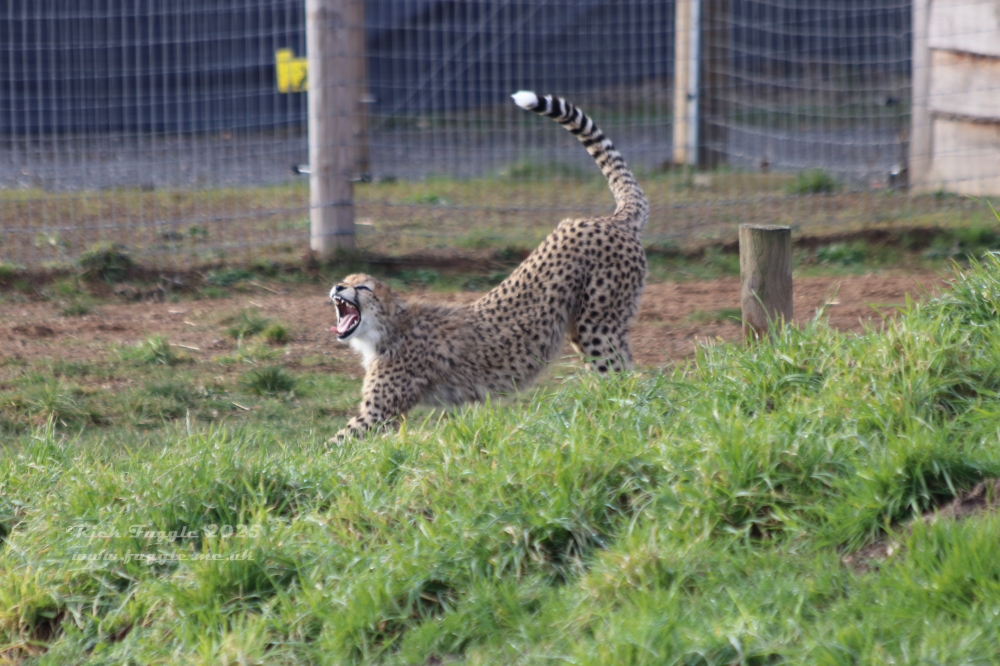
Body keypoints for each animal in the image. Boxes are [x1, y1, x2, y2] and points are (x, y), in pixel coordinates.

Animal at [332, 91, 648, 438]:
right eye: (346, 279)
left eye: (362, 287)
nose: (337, 286)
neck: (387, 330)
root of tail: (610, 219)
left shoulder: (376, 414)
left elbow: (333, 445)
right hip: (585, 327)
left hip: (598, 326)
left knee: (623, 378)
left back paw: (614, 419)